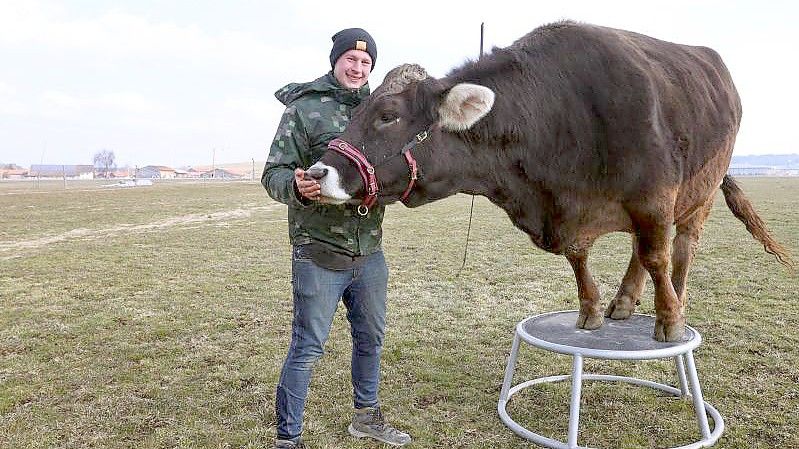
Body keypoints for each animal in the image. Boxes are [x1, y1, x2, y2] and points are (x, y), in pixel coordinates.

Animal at [306, 21, 792, 342]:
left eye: (388, 116)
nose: (316, 173)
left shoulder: (654, 196)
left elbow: (658, 256)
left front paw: (670, 320)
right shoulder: (573, 213)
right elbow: (581, 258)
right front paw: (592, 310)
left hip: (699, 193)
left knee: (681, 246)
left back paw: (675, 298)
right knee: (640, 252)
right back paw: (624, 302)